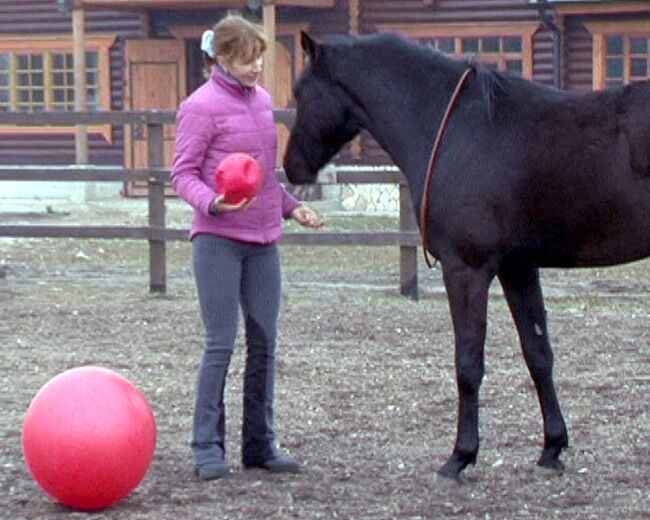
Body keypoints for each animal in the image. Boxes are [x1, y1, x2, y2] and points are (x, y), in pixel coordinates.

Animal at [286, 31, 648, 480]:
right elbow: (538, 355)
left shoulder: (466, 270)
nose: (292, 168)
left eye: (300, 92)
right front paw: (552, 447)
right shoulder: (517, 268)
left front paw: (460, 455)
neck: (457, 128)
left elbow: (468, 364)